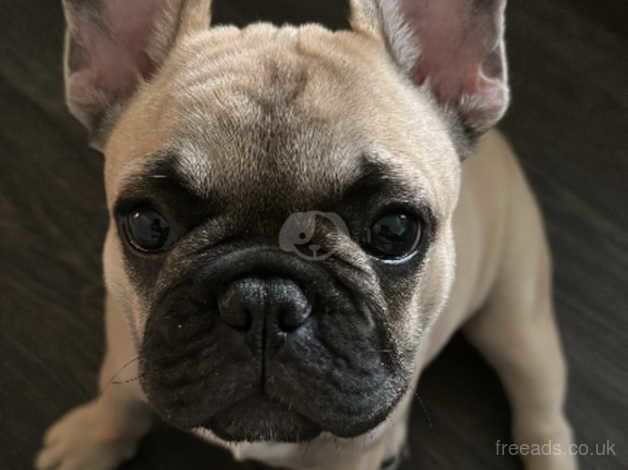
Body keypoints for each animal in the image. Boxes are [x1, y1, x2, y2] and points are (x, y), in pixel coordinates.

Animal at [35, 0, 576, 468]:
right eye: (147, 224)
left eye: (395, 230)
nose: (263, 299)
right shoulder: (123, 343)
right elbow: (118, 399)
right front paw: (91, 438)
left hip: (518, 325)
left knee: (542, 415)